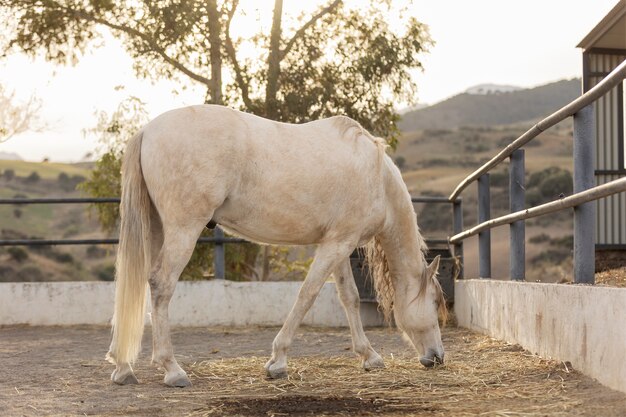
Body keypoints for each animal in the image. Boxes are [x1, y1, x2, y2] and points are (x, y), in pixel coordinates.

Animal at [108, 105, 448, 386]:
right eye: (434, 302)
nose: (438, 357)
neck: (376, 176)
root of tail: (148, 130)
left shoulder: (338, 243)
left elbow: (349, 298)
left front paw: (369, 356)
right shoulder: (337, 244)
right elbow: (307, 295)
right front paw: (277, 362)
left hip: (155, 229)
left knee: (140, 283)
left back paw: (123, 367)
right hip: (183, 230)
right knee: (161, 284)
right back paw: (172, 369)